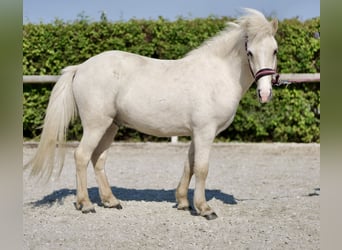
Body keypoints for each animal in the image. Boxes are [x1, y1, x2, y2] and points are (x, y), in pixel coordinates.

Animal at [26, 8, 278, 219]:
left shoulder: (196, 133)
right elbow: (201, 168)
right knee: (81, 156)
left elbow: (189, 165)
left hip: (110, 126)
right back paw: (85, 204)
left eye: (275, 50)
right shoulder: (205, 132)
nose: (265, 93)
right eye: (250, 52)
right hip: (96, 125)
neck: (217, 74)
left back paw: (110, 201)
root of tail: (80, 68)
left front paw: (183, 202)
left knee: (98, 159)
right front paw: (204, 208)